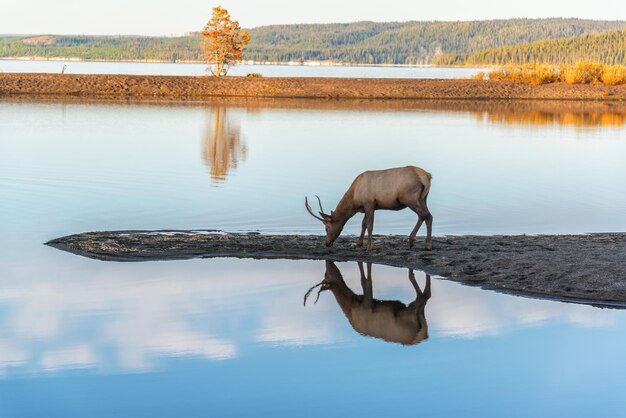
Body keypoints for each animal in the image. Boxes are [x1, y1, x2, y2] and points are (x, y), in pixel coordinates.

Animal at [304, 166, 432, 251]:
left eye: (326, 228)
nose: (327, 243)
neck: (355, 199)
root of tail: (427, 176)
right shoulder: (369, 206)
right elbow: (364, 224)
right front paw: (359, 243)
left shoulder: (369, 202)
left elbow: (370, 225)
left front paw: (369, 247)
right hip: (423, 199)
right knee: (425, 216)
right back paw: (419, 243)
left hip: (409, 198)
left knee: (425, 215)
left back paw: (419, 243)